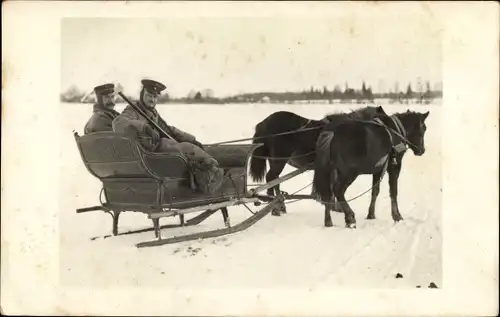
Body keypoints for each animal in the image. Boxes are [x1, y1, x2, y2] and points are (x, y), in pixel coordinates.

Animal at [250, 105, 386, 216]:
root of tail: (264, 123)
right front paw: (336, 208)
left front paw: (334, 207)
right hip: (279, 160)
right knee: (271, 178)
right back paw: (276, 209)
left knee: (274, 180)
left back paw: (279, 206)